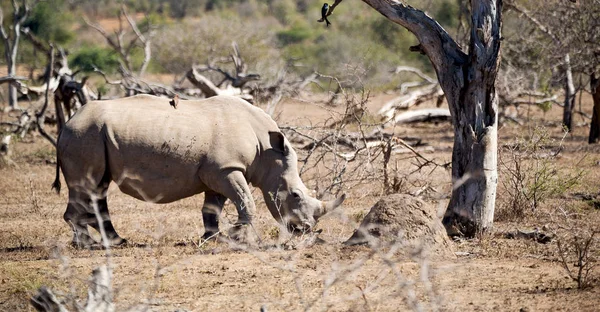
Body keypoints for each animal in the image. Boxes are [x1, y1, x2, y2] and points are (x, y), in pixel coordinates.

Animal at [53, 94, 344, 247]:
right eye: (295, 195)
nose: (304, 230)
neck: (267, 150)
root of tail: (67, 124)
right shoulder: (227, 169)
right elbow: (246, 202)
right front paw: (235, 238)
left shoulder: (219, 172)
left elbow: (212, 208)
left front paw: (213, 238)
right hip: (85, 135)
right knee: (87, 186)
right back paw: (86, 244)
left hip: (91, 136)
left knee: (97, 188)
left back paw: (116, 241)